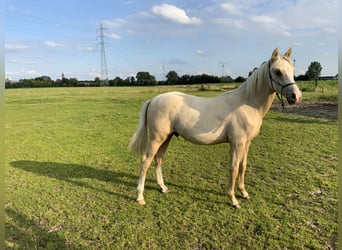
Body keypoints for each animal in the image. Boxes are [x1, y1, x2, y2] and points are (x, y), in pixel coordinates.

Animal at [129, 47, 302, 208]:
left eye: (293, 71)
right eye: (277, 71)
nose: (296, 97)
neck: (246, 103)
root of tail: (153, 100)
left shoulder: (246, 143)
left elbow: (243, 166)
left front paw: (244, 193)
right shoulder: (237, 143)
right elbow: (233, 168)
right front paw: (233, 200)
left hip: (167, 137)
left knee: (158, 159)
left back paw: (163, 188)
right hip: (156, 139)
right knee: (145, 161)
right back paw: (140, 196)